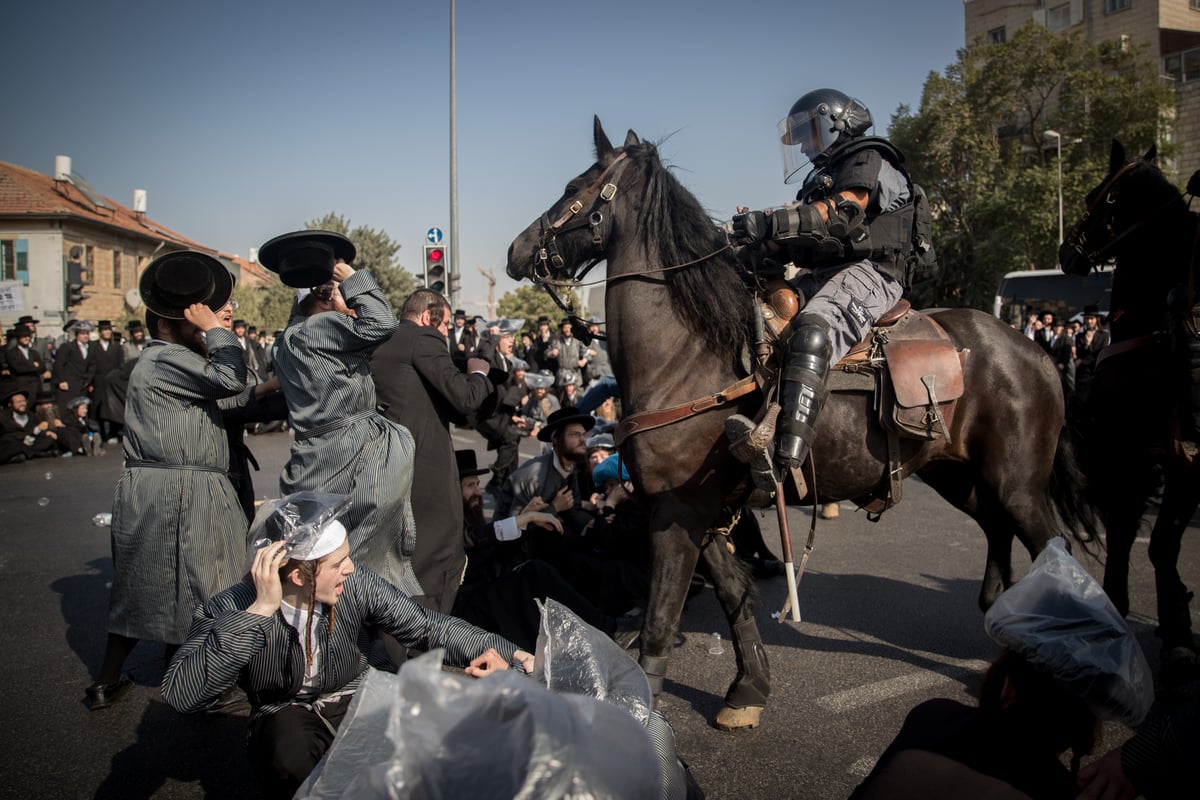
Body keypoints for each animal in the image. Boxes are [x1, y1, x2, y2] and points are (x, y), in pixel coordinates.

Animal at [506, 120, 1099, 734]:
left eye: (574, 186)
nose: (517, 251)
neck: (687, 354)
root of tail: (1034, 352)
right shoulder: (696, 510)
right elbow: (734, 593)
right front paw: (749, 687)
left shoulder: (674, 513)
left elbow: (661, 619)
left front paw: (643, 706)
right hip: (961, 477)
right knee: (1000, 532)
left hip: (1018, 484)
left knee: (1057, 552)